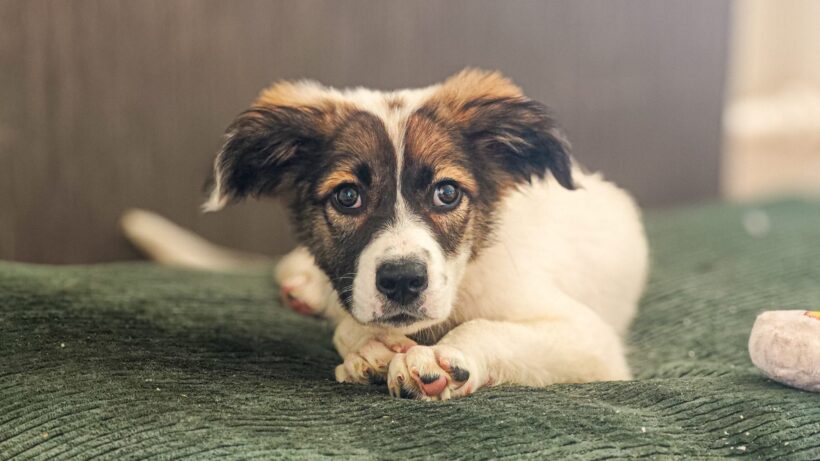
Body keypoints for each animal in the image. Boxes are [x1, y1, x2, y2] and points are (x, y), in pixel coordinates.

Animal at [122, 69, 649, 401]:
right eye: (347, 197)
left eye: (446, 193)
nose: (402, 281)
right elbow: (349, 322)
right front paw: (368, 349)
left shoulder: (590, 341)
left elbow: (486, 326)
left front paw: (440, 357)